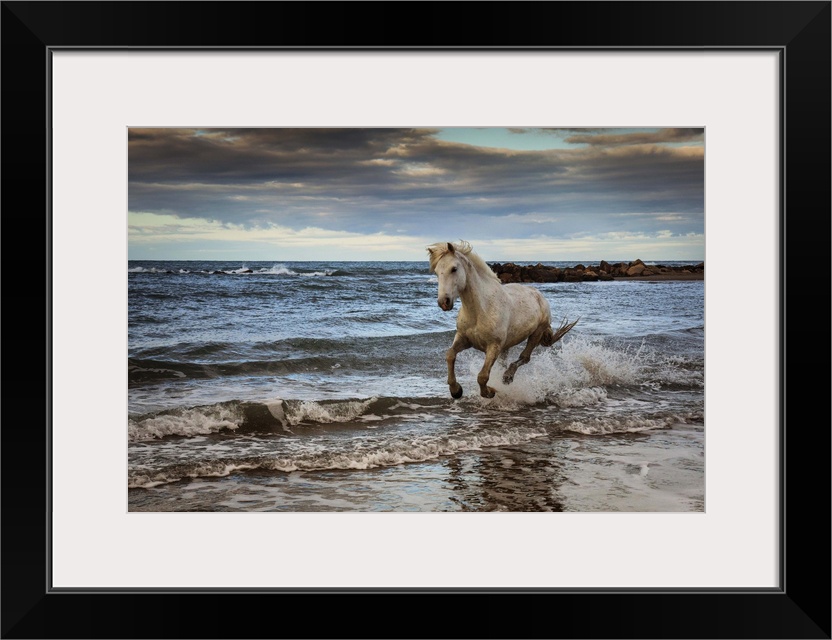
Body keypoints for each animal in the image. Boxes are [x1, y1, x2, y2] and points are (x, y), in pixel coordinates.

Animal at [426, 241, 576, 398]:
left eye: (454, 269)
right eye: (436, 272)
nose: (444, 302)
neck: (480, 310)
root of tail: (539, 295)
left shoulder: (494, 346)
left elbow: (482, 376)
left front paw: (490, 391)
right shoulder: (464, 339)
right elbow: (450, 355)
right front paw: (456, 390)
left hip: (536, 334)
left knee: (524, 357)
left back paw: (507, 377)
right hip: (506, 346)